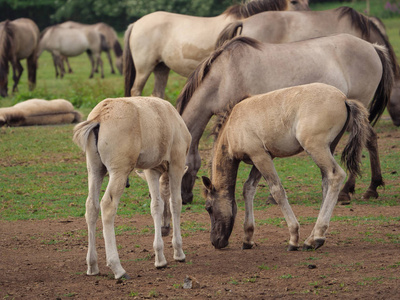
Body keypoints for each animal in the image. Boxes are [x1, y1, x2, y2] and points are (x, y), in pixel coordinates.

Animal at [72, 96, 191, 278]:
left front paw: (160, 259)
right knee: (107, 205)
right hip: (119, 172)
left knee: (91, 206)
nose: (165, 229)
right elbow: (175, 203)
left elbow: (156, 205)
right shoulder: (177, 164)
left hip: (94, 170)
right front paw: (178, 253)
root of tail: (99, 116)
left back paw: (92, 266)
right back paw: (118, 268)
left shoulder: (152, 170)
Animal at [177, 34, 394, 204]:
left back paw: (356, 190)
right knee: (369, 139)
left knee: (366, 140)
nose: (185, 199)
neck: (225, 74)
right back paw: (366, 188)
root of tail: (373, 47)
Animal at [202, 82, 370, 251]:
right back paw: (311, 238)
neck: (232, 125)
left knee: (336, 176)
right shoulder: (262, 157)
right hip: (327, 148)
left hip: (316, 148)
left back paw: (317, 237)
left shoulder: (259, 156)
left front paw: (293, 238)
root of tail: (344, 99)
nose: (215, 241)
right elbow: (248, 189)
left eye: (208, 207)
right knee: (326, 182)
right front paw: (247, 239)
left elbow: (277, 190)